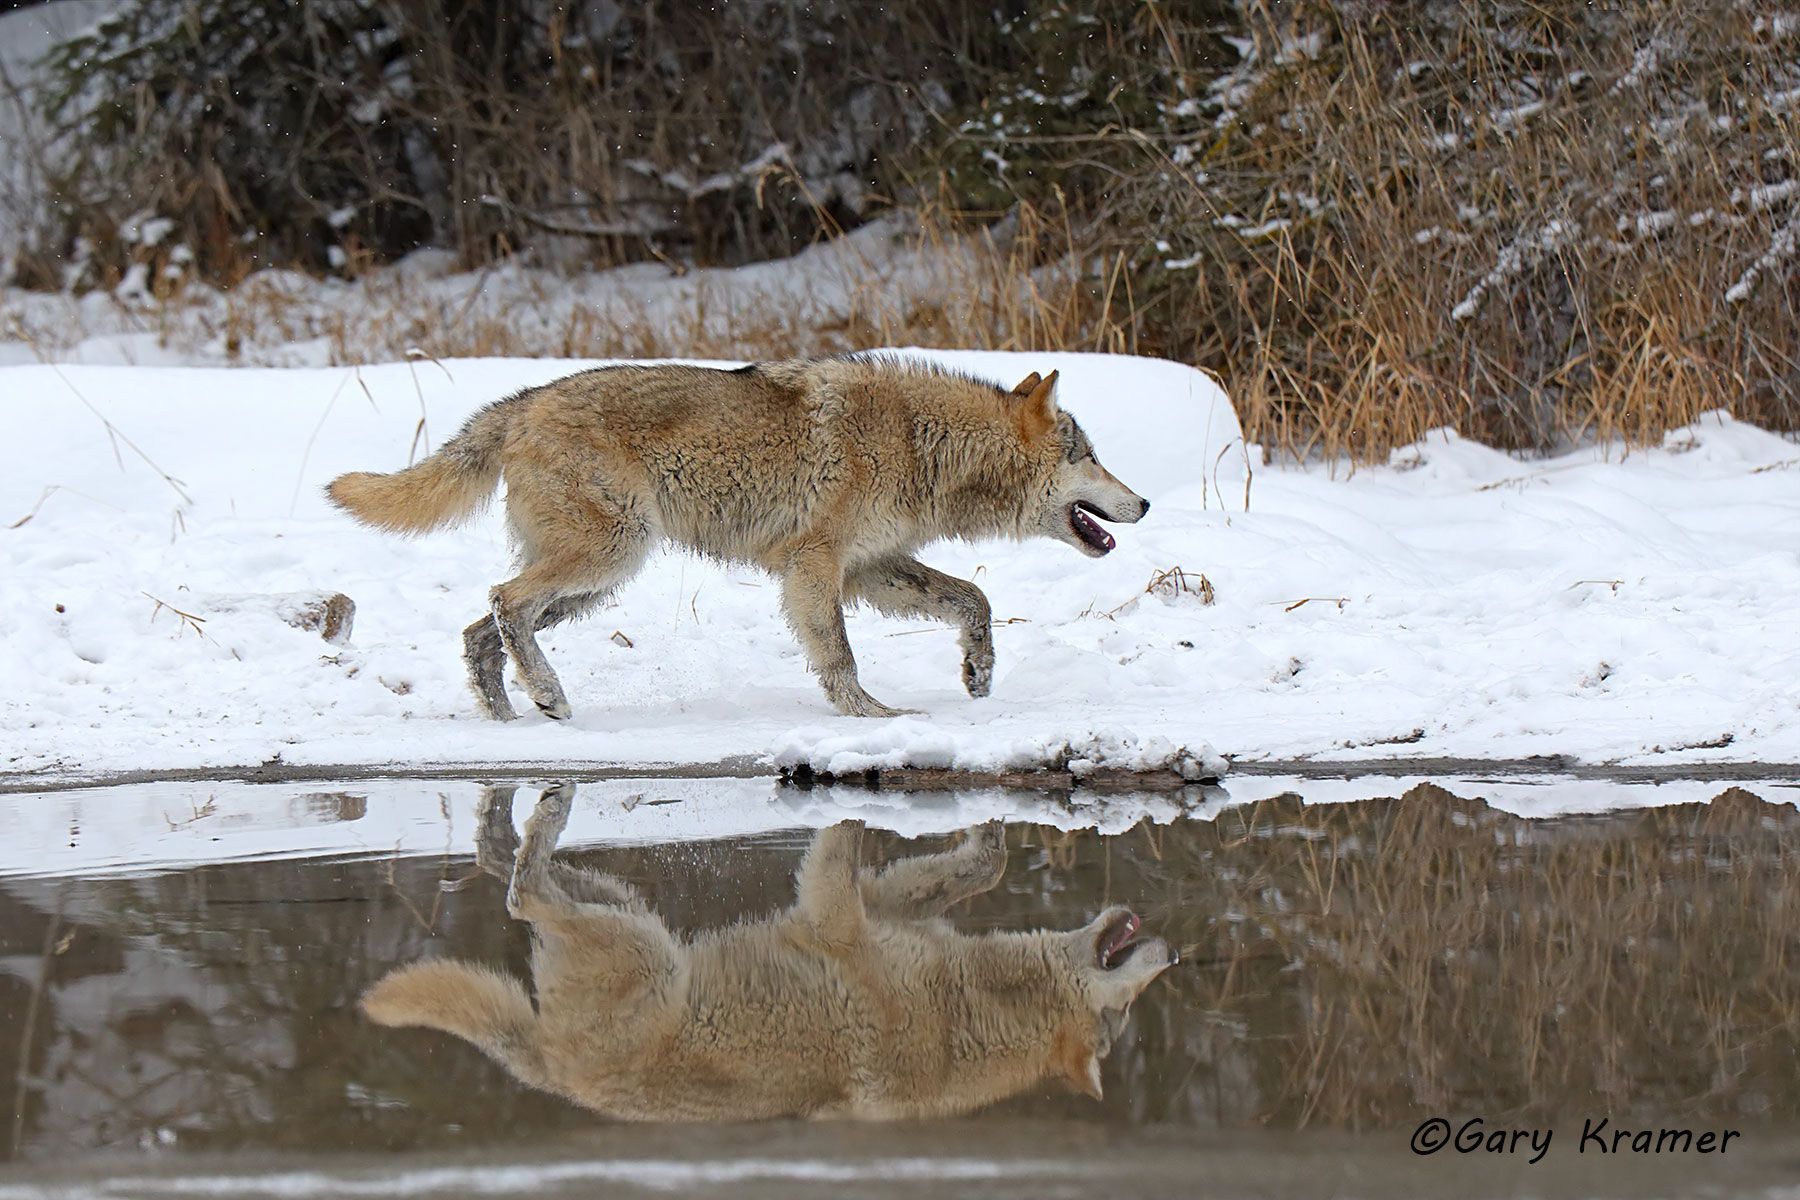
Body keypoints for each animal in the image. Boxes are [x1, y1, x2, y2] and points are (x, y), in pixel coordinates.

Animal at [325, 357, 1148, 720]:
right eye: (1087, 455)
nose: (1141, 501)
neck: (922, 442)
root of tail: (521, 402)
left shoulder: (871, 567)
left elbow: (973, 598)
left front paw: (978, 674)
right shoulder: (816, 568)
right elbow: (839, 656)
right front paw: (872, 719)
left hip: (598, 582)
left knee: (485, 627)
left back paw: (509, 715)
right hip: (608, 558)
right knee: (502, 600)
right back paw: (548, 695)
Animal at [361, 786, 1176, 1121]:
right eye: (1122, 1022)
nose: (1170, 955)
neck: (962, 1018)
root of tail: (550, 1072)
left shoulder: (848, 912)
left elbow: (952, 863)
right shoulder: (852, 912)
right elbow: (979, 863)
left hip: (639, 931)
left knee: (525, 895)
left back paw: (530, 828)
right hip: (641, 935)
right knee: (524, 889)